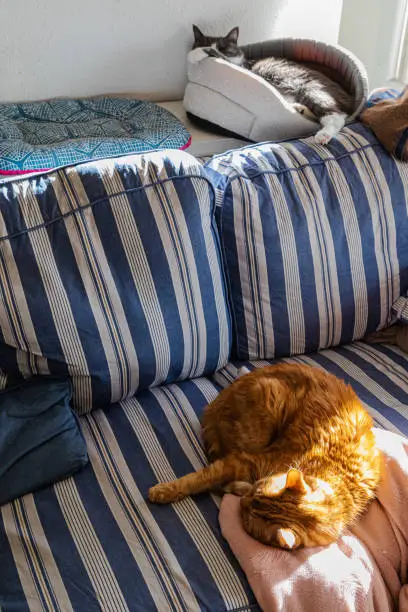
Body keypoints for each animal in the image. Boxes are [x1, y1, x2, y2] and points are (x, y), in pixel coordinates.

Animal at [150, 364, 382, 548]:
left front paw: (235, 488)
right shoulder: (243, 461)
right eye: (257, 492)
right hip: (269, 399)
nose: (242, 502)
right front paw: (164, 491)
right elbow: (196, 479)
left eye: (248, 518)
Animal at [190, 25, 356, 144]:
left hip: (310, 88)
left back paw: (323, 135)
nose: (212, 49)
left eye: (224, 49)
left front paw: (198, 54)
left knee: (337, 116)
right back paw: (299, 109)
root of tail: (349, 96)